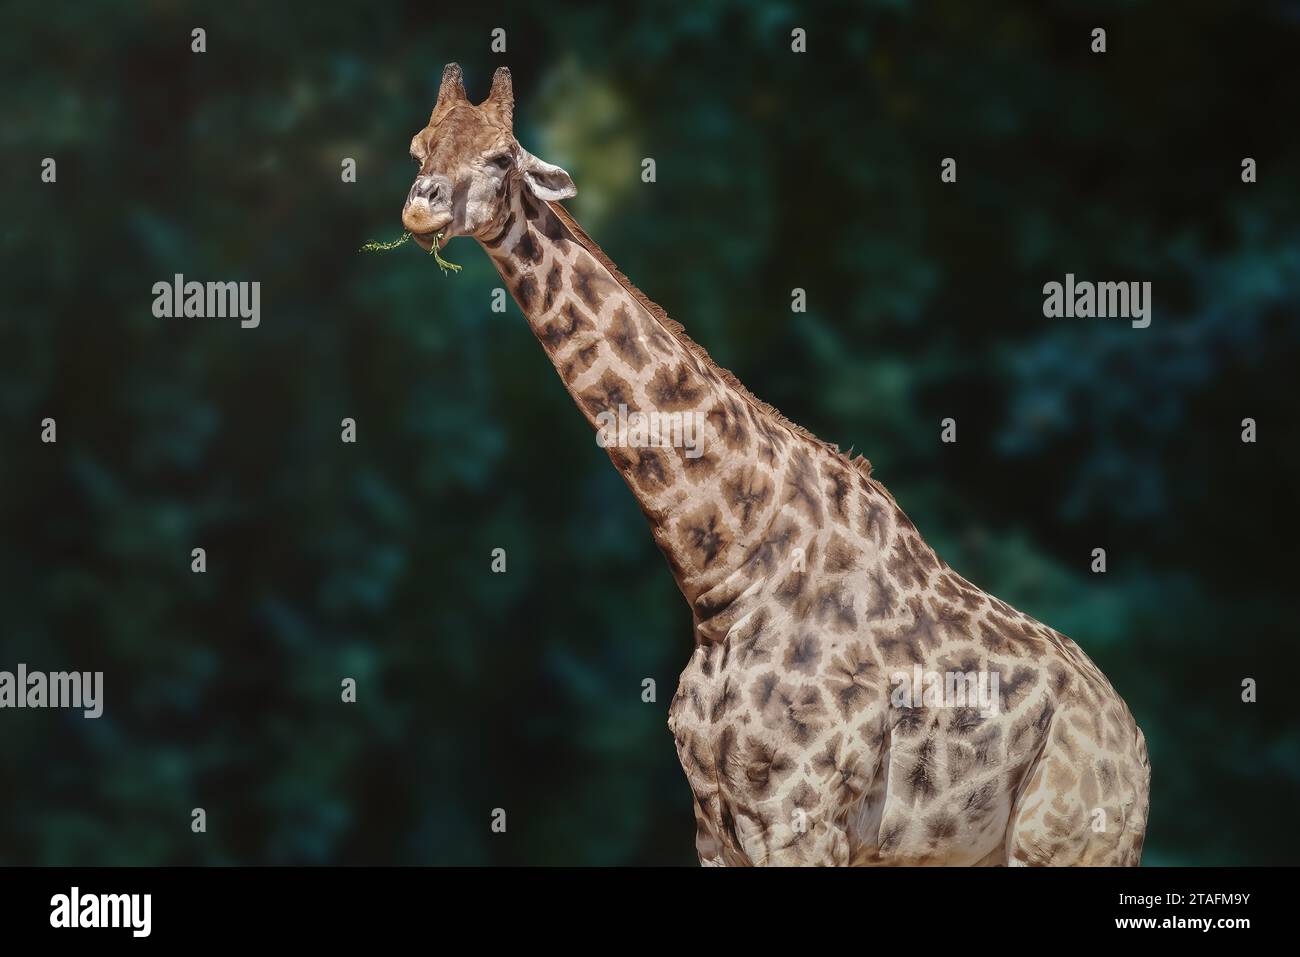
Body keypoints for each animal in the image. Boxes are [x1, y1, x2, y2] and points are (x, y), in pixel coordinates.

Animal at [401, 64, 1151, 866]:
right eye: (419, 144)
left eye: (500, 159)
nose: (419, 209)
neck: (725, 578)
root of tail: (1137, 750)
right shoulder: (714, 822)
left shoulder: (798, 815)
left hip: (1065, 843)